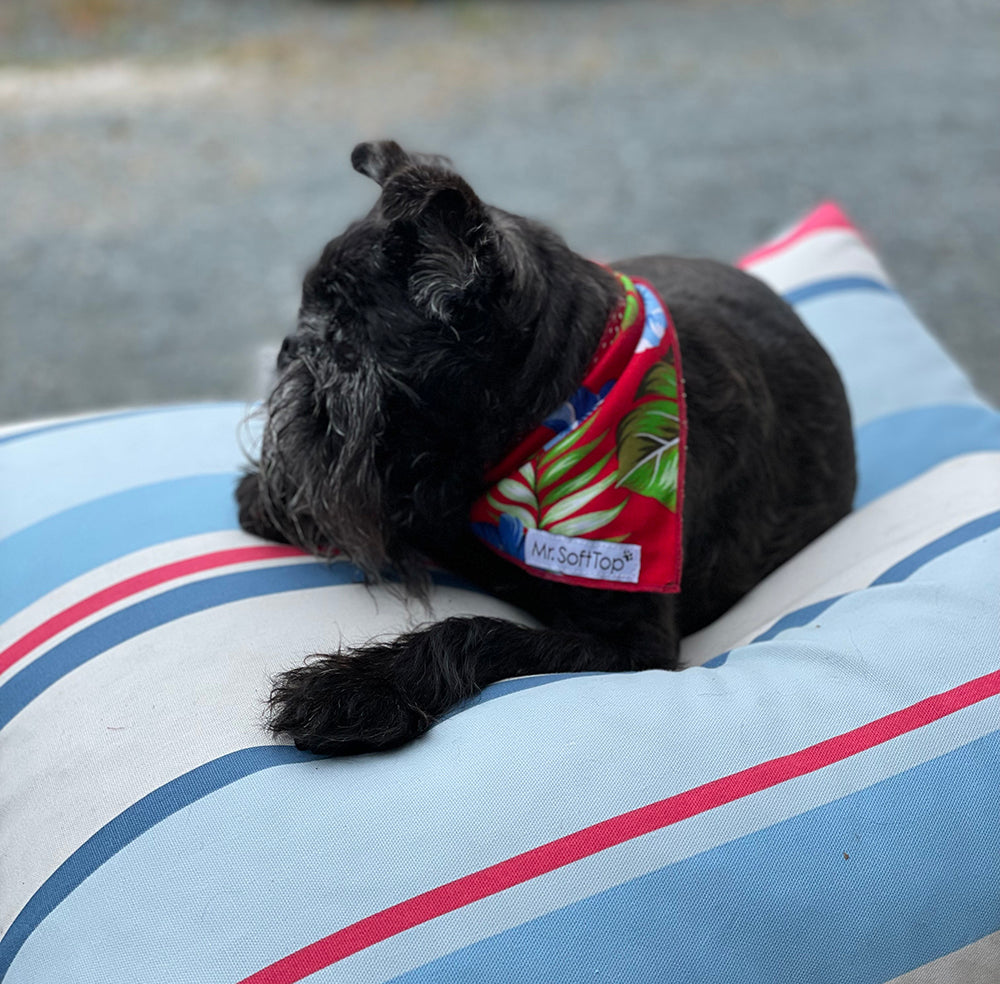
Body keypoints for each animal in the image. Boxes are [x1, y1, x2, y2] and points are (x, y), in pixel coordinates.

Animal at [238, 140, 856, 752]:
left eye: (343, 343)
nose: (291, 347)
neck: (563, 401)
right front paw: (266, 498)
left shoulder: (634, 647)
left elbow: (478, 630)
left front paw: (355, 690)